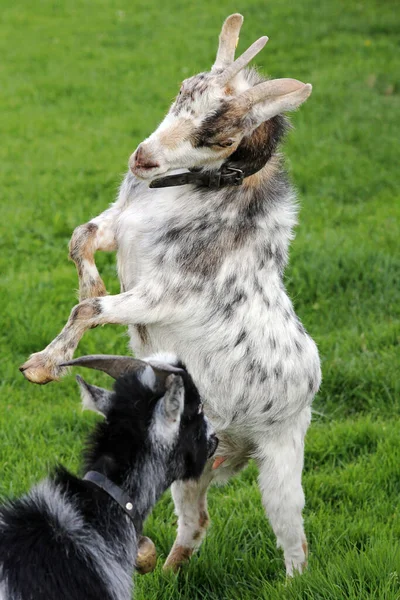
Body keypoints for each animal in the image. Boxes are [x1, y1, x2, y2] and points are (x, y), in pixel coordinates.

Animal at [21, 14, 322, 576]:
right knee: (196, 519)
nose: (143, 159)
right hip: (189, 465)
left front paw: (43, 365)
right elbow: (79, 238)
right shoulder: (119, 228)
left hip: (282, 458)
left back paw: (293, 580)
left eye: (220, 137)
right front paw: (90, 281)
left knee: (294, 537)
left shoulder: (167, 292)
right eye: (183, 89)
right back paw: (163, 568)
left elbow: (89, 308)